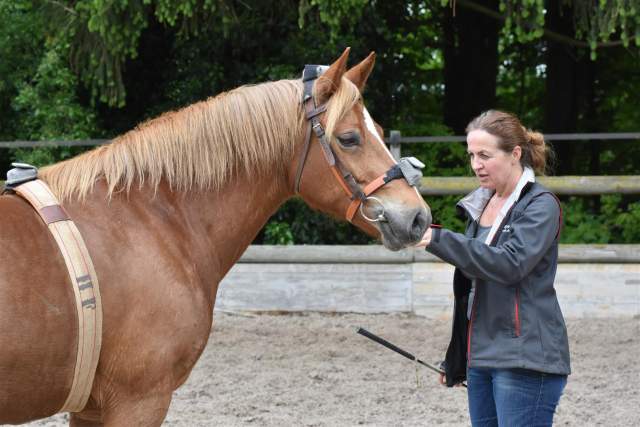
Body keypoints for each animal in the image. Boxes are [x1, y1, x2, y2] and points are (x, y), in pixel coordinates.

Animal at [0, 48, 431, 426]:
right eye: (349, 138)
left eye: (379, 132)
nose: (418, 218)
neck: (150, 218)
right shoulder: (139, 400)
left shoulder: (90, 409)